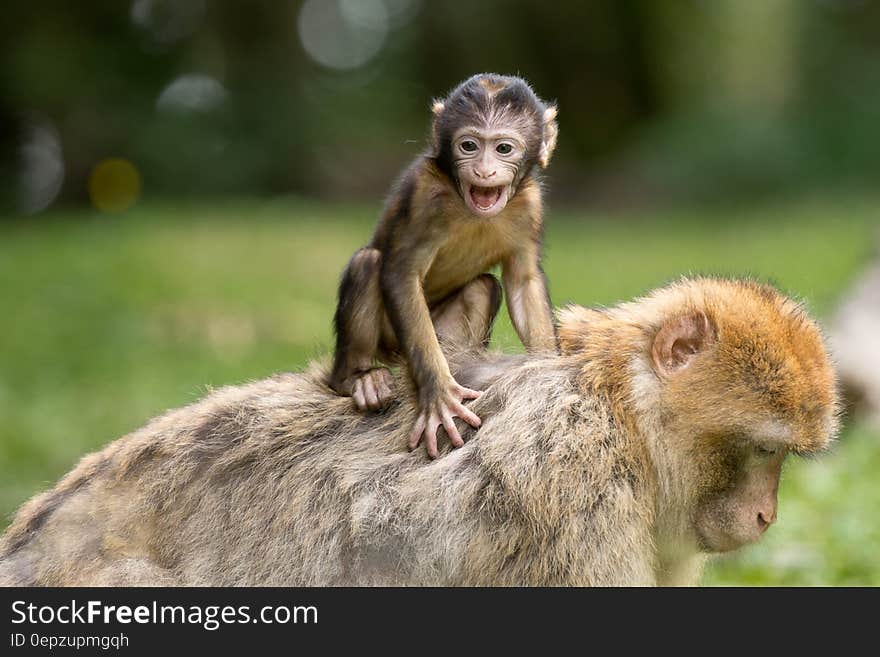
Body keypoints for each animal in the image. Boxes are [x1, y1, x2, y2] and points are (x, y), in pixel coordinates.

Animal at [326, 72, 560, 456]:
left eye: (503, 149)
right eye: (469, 146)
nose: (483, 171)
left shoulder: (530, 205)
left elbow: (523, 281)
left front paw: (546, 373)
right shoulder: (425, 195)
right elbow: (401, 274)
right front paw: (438, 395)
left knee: (483, 287)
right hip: (390, 341)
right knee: (368, 263)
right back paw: (357, 379)